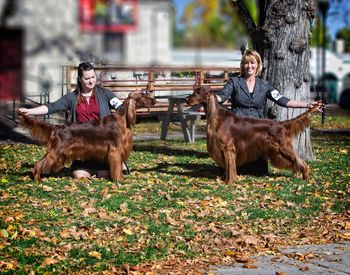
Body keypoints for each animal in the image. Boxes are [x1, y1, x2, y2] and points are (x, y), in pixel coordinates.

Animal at [17, 91, 157, 182]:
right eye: (143, 95)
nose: (155, 100)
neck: (123, 119)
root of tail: (57, 127)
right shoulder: (115, 150)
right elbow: (117, 167)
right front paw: (119, 180)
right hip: (56, 151)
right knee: (39, 163)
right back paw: (37, 178)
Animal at [186, 86, 322, 183]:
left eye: (197, 92)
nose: (186, 99)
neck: (216, 115)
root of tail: (281, 124)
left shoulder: (228, 147)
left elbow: (230, 166)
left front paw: (229, 181)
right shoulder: (224, 147)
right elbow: (228, 166)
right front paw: (226, 179)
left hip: (283, 147)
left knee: (300, 161)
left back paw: (306, 177)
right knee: (296, 161)